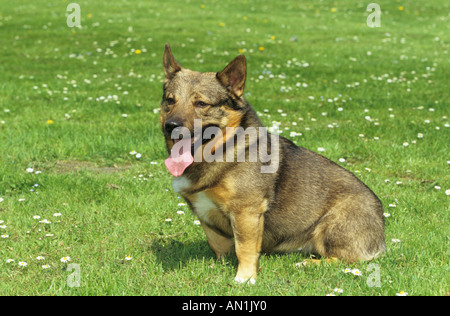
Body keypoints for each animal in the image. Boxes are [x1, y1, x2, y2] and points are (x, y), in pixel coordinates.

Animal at [160, 43, 384, 282]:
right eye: (170, 101)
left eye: (201, 103)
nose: (170, 126)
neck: (224, 150)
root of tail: (382, 236)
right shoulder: (207, 216)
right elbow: (218, 245)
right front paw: (219, 267)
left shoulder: (246, 212)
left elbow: (244, 248)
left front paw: (244, 278)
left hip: (328, 226)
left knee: (346, 260)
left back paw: (308, 263)